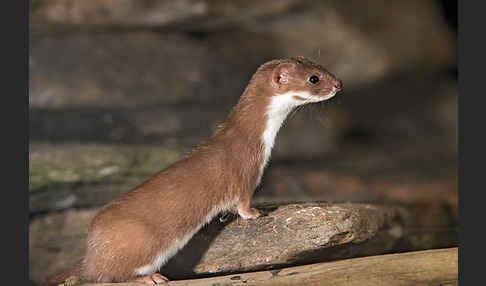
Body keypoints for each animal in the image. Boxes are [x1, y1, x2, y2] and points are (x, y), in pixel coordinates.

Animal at [45, 55, 342, 284]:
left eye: (321, 65)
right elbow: (243, 201)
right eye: (314, 78)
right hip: (142, 243)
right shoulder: (246, 171)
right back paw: (150, 277)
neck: (258, 140)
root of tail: (91, 254)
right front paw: (256, 213)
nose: (339, 84)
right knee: (108, 276)